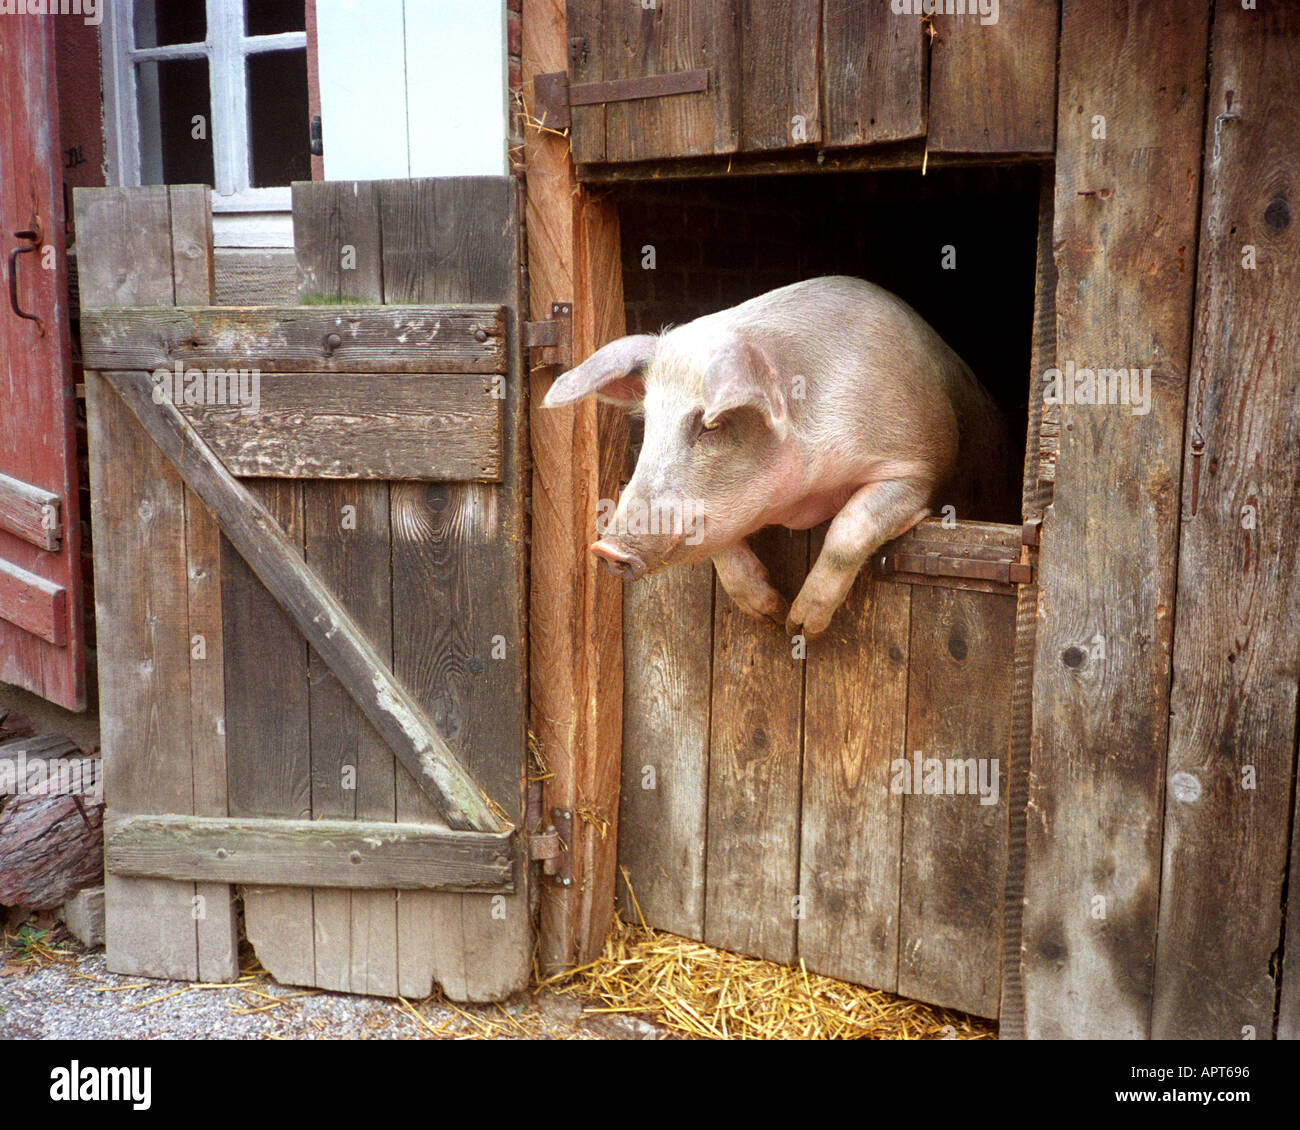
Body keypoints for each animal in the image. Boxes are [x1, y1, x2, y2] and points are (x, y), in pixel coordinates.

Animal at [543, 275, 1008, 634]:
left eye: (710, 424)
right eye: (648, 420)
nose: (607, 550)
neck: (803, 500)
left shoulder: (918, 467)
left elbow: (848, 528)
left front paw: (797, 627)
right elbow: (719, 545)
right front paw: (769, 614)